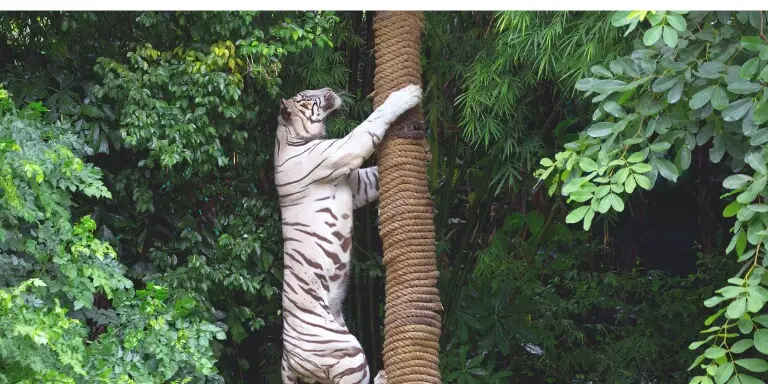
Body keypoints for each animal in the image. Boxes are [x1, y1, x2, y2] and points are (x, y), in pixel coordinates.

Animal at [274, 82, 424, 382]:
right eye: (307, 97)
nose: (328, 87)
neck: (289, 138)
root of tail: (287, 359)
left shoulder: (357, 185)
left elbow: (376, 173)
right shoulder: (344, 150)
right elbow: (373, 122)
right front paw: (408, 94)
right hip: (347, 351)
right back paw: (384, 376)